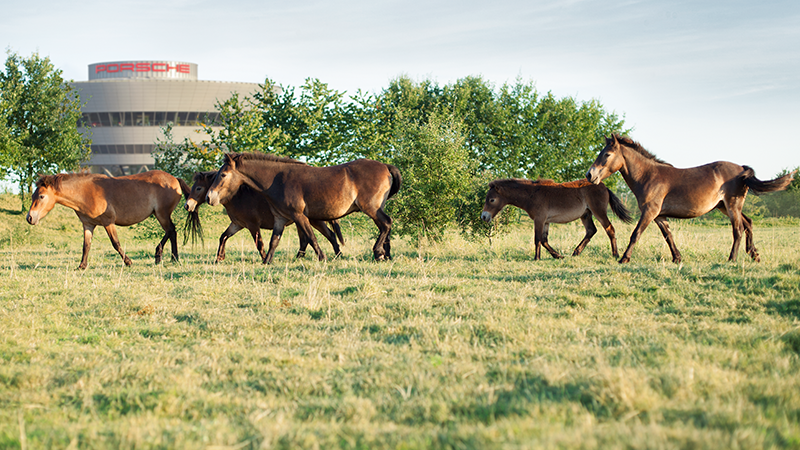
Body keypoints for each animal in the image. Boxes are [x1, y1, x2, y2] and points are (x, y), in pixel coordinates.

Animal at [26, 170, 199, 269]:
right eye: (33, 195)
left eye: (41, 196)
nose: (30, 218)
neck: (86, 193)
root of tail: (174, 179)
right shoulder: (88, 225)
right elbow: (86, 246)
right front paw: (82, 266)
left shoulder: (108, 222)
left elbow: (115, 243)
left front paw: (128, 262)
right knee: (172, 232)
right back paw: (173, 258)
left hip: (161, 214)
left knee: (171, 230)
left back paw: (160, 255)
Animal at [184, 171, 344, 263]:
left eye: (198, 188)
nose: (187, 206)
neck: (239, 197)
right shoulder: (237, 224)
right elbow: (223, 237)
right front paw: (219, 258)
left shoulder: (252, 225)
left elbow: (259, 243)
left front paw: (264, 258)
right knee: (310, 239)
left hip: (314, 220)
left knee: (328, 235)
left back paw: (337, 255)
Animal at [206, 153, 401, 263]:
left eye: (223, 175)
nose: (209, 197)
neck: (277, 180)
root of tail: (385, 166)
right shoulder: (280, 218)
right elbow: (274, 241)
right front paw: (266, 262)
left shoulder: (299, 215)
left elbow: (311, 238)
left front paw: (322, 258)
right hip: (376, 209)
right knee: (386, 227)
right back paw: (385, 255)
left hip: (371, 208)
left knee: (386, 224)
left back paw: (378, 252)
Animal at [481, 178, 633, 260]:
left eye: (492, 200)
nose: (484, 216)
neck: (532, 194)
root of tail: (604, 186)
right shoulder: (546, 221)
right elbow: (544, 240)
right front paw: (558, 256)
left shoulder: (539, 219)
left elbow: (537, 239)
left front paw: (536, 258)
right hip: (586, 214)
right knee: (591, 230)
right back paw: (576, 252)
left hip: (599, 212)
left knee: (610, 229)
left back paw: (615, 254)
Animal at [586, 134, 796, 263]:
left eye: (607, 154)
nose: (590, 175)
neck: (649, 176)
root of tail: (742, 169)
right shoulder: (659, 215)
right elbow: (668, 236)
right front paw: (677, 258)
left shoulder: (649, 212)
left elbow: (635, 234)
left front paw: (624, 258)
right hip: (724, 206)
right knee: (748, 223)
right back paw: (754, 254)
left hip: (732, 206)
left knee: (738, 229)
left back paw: (732, 259)